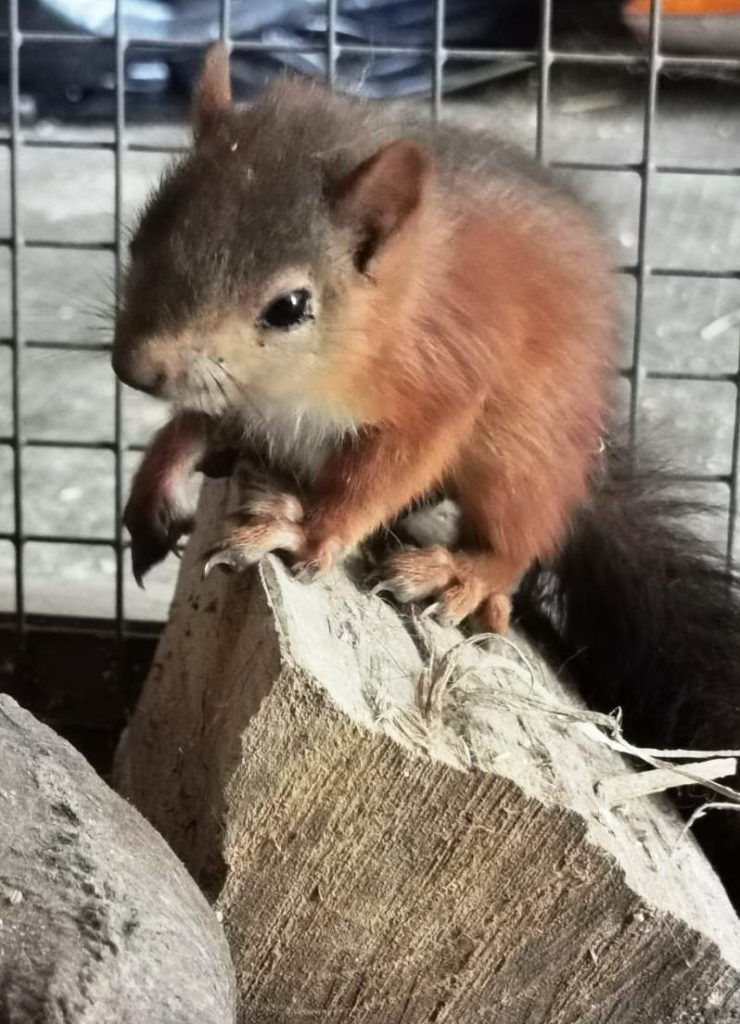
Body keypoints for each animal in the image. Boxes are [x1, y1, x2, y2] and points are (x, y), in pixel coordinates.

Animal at [114, 45, 740, 908]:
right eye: (144, 230)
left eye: (289, 306)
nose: (136, 368)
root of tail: (588, 448)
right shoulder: (244, 399)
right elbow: (198, 421)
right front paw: (159, 476)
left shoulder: (441, 380)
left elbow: (380, 473)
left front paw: (304, 528)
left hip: (522, 451)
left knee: (519, 537)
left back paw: (465, 573)